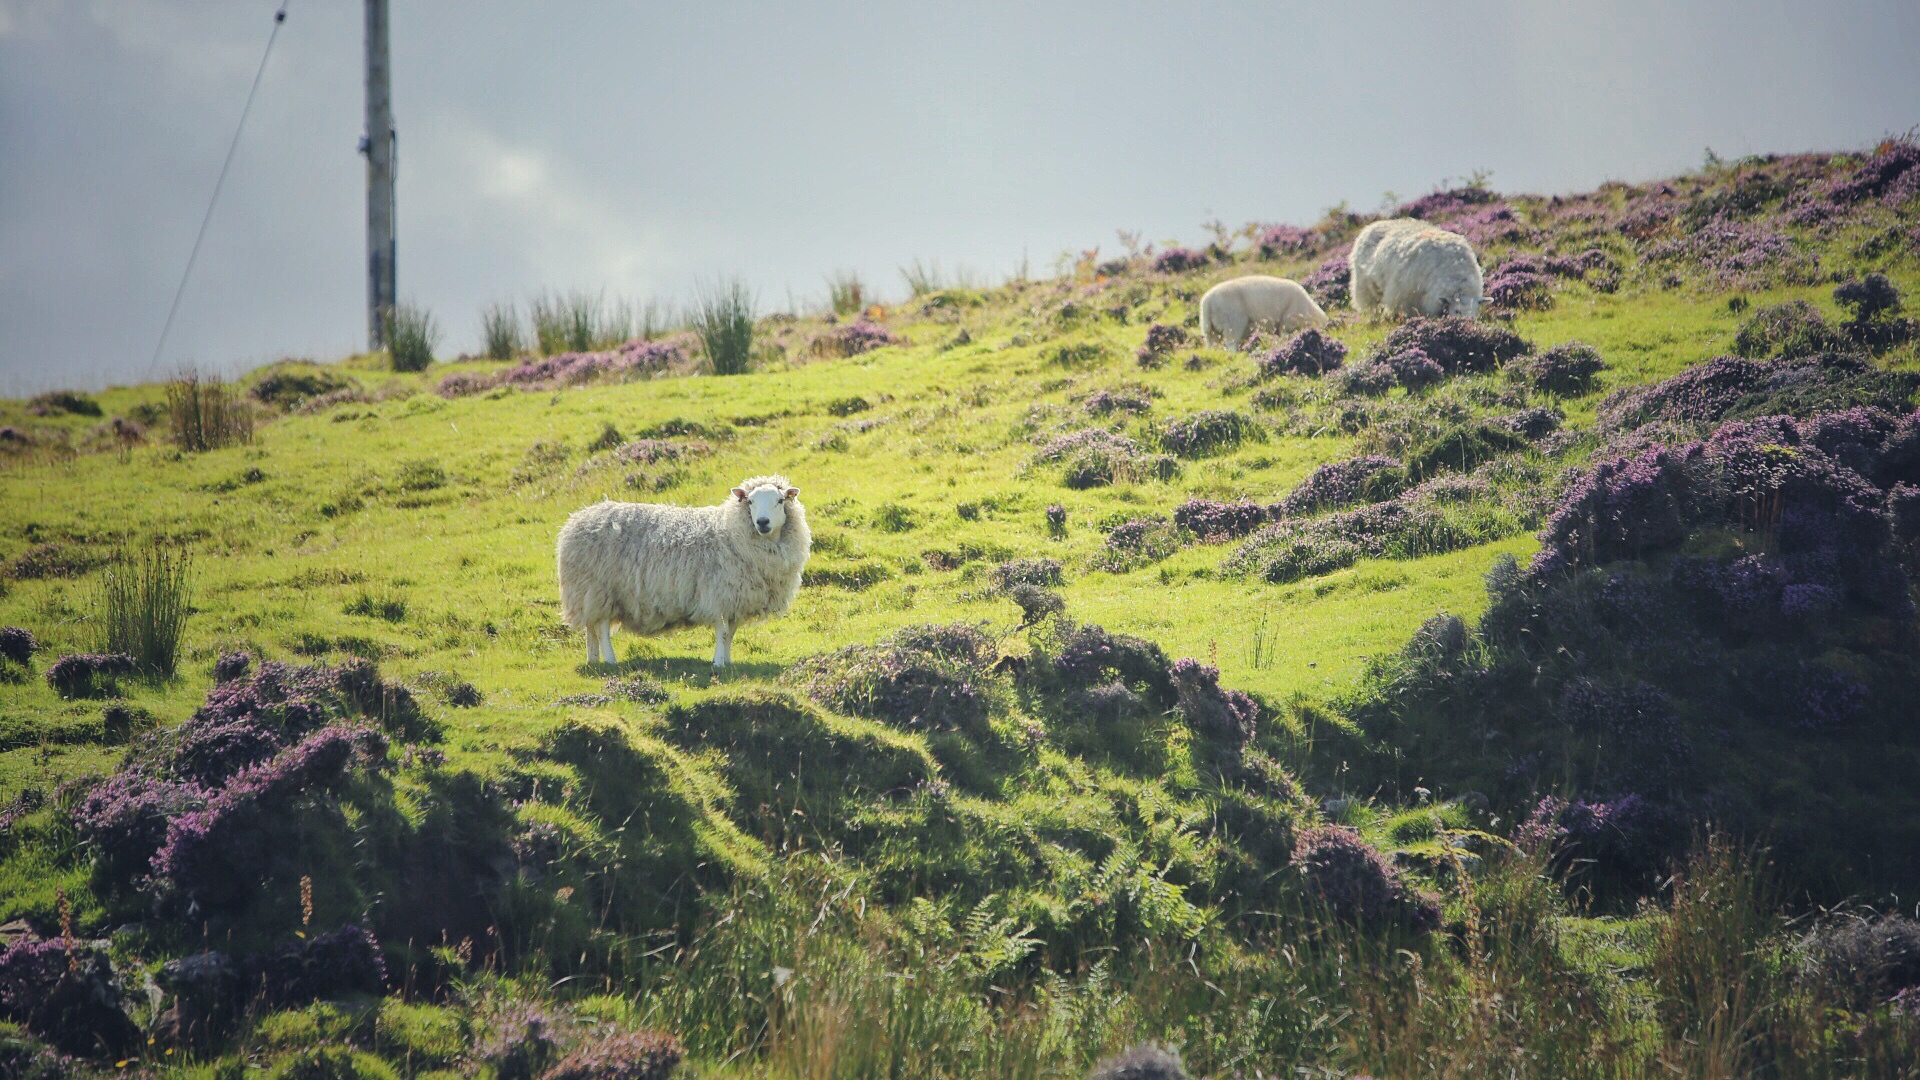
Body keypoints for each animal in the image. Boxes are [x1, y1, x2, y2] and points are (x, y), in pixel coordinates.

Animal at [556, 474, 810, 668]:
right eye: (750, 502)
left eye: (780, 500)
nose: (763, 522)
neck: (731, 531)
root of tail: (577, 519)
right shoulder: (717, 594)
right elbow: (722, 632)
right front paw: (718, 663)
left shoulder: (736, 599)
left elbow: (731, 633)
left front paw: (728, 661)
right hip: (598, 589)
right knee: (601, 629)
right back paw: (610, 661)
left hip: (588, 594)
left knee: (591, 629)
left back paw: (593, 660)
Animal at [1190, 272, 1328, 349]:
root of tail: (1207, 302)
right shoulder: (1287, 320)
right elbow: (1284, 333)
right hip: (1233, 321)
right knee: (1231, 343)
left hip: (1210, 329)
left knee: (1212, 344)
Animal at [1344, 216, 1489, 317]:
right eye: (1457, 311)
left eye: (1475, 310)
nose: (1468, 324)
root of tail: (1371, 225)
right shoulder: (1405, 295)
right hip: (1363, 285)